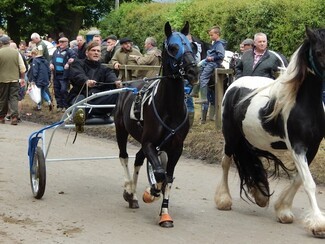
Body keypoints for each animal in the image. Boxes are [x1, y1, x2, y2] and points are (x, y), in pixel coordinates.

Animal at [115, 21, 199, 228]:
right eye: (173, 47)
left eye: (192, 46)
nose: (193, 71)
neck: (170, 108)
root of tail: (130, 84)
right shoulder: (150, 143)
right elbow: (160, 173)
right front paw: (151, 192)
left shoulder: (176, 148)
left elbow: (167, 177)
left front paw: (165, 214)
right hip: (121, 130)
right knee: (124, 157)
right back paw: (130, 192)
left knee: (138, 158)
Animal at [215, 27, 324, 238]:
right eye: (319, 52)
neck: (304, 104)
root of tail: (234, 84)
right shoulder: (297, 146)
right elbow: (309, 183)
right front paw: (318, 224)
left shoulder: (312, 147)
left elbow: (299, 179)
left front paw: (283, 210)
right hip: (231, 136)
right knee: (225, 163)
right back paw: (223, 200)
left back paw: (260, 195)